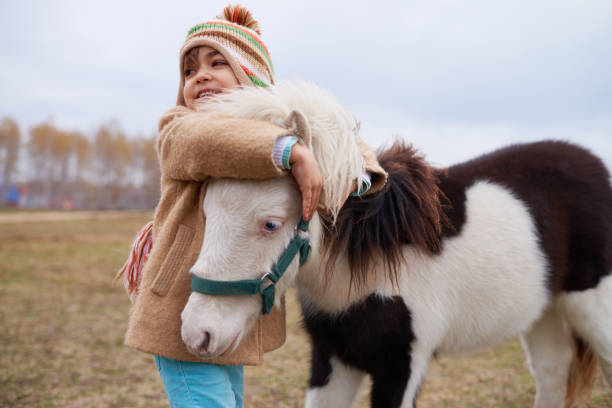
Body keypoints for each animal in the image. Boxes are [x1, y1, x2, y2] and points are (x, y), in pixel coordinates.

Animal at [178, 83, 612, 408]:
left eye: (270, 224)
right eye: (207, 212)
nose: (198, 335)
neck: (366, 256)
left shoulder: (402, 366)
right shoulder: (332, 360)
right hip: (545, 314)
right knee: (553, 375)